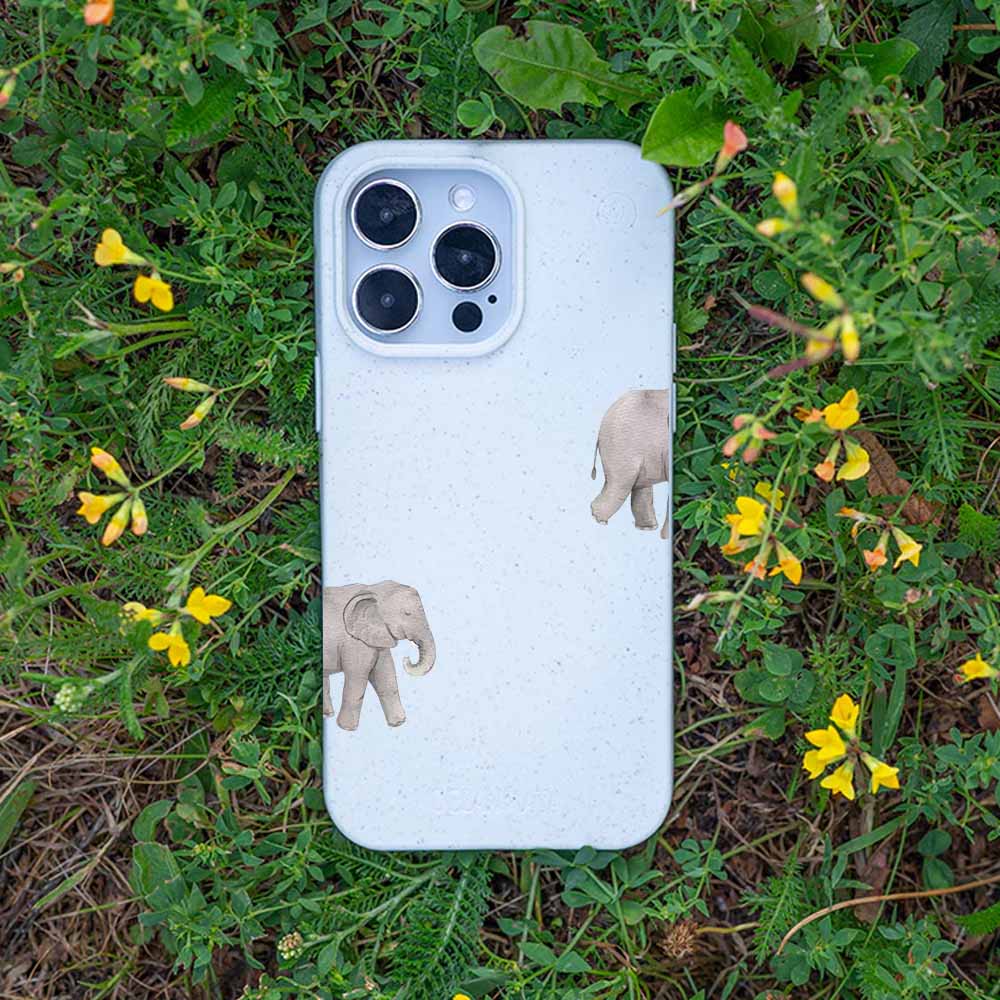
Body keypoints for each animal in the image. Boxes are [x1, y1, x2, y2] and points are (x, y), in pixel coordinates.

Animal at [322, 581, 436, 731]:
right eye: (407, 613)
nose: (407, 658)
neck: (372, 590)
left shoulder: (376, 639)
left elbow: (387, 678)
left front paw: (398, 722)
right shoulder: (354, 644)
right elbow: (356, 681)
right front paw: (347, 728)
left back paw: (327, 714)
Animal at [590, 389, 670, 538]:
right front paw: (665, 537)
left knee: (640, 485)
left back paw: (647, 528)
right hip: (621, 448)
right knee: (620, 485)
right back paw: (599, 520)